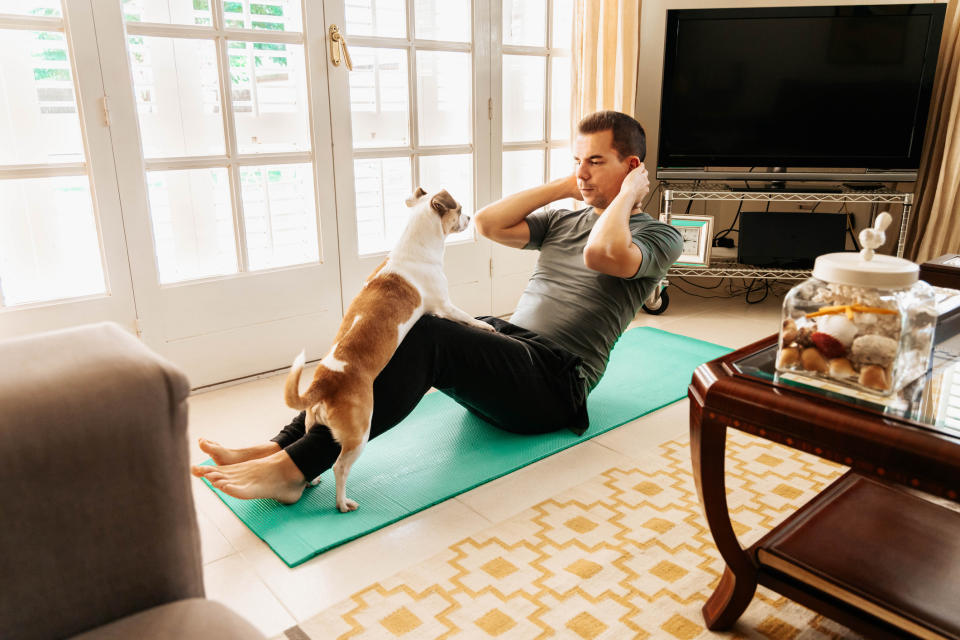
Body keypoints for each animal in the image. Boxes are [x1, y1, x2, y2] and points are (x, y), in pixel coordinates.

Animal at [284, 188, 496, 512]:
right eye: (459, 209)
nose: (471, 216)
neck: (414, 249)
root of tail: (324, 381)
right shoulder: (445, 306)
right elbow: (466, 317)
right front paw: (484, 326)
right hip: (360, 433)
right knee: (340, 467)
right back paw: (342, 503)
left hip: (314, 422)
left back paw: (312, 480)